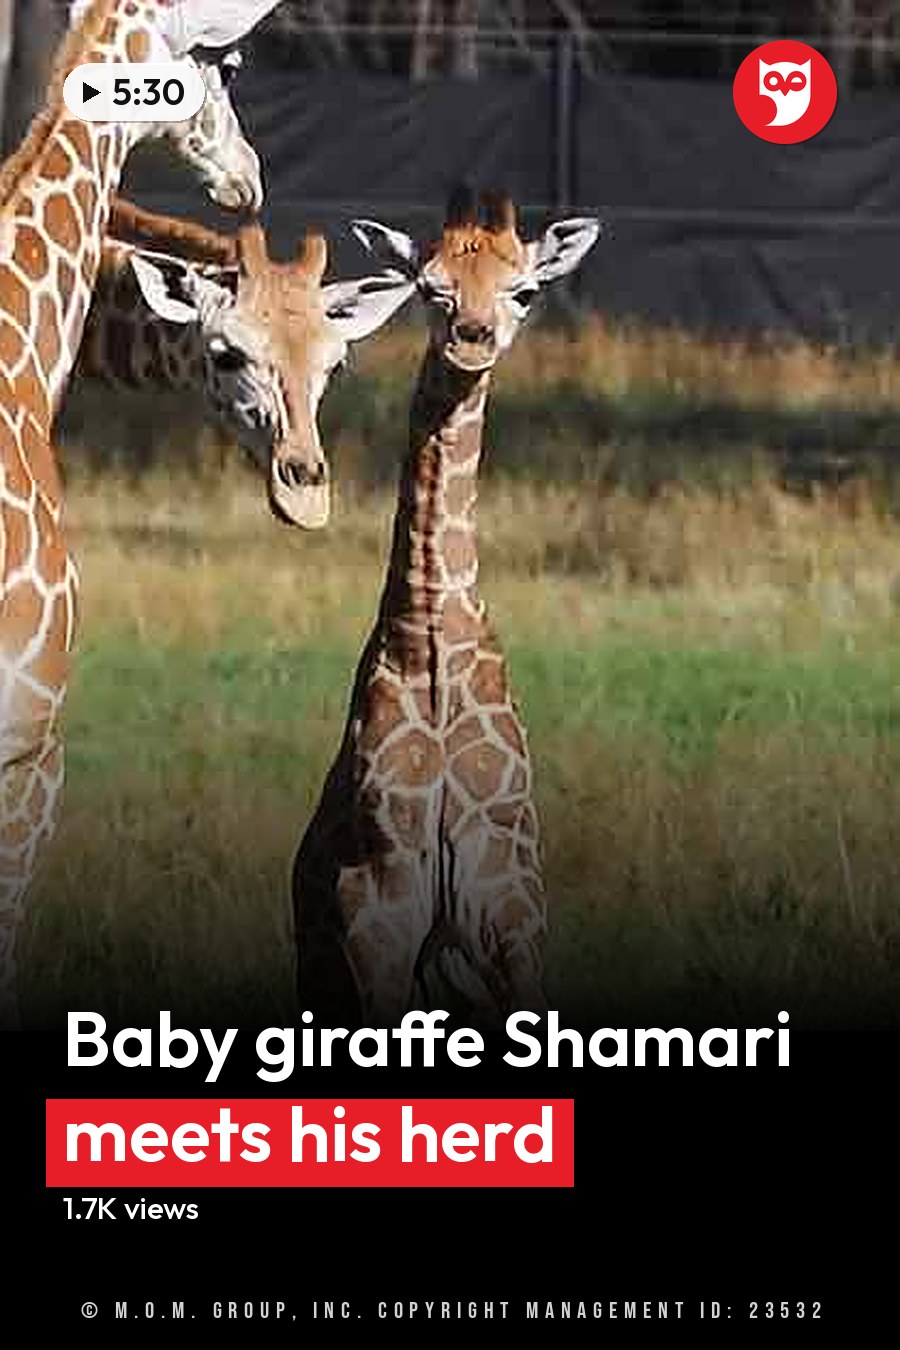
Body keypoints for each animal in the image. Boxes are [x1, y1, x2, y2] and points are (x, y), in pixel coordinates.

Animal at [291, 188, 600, 1031]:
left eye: (523, 292)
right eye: (431, 290)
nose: (472, 340)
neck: (432, 641)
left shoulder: (510, 915)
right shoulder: (375, 915)